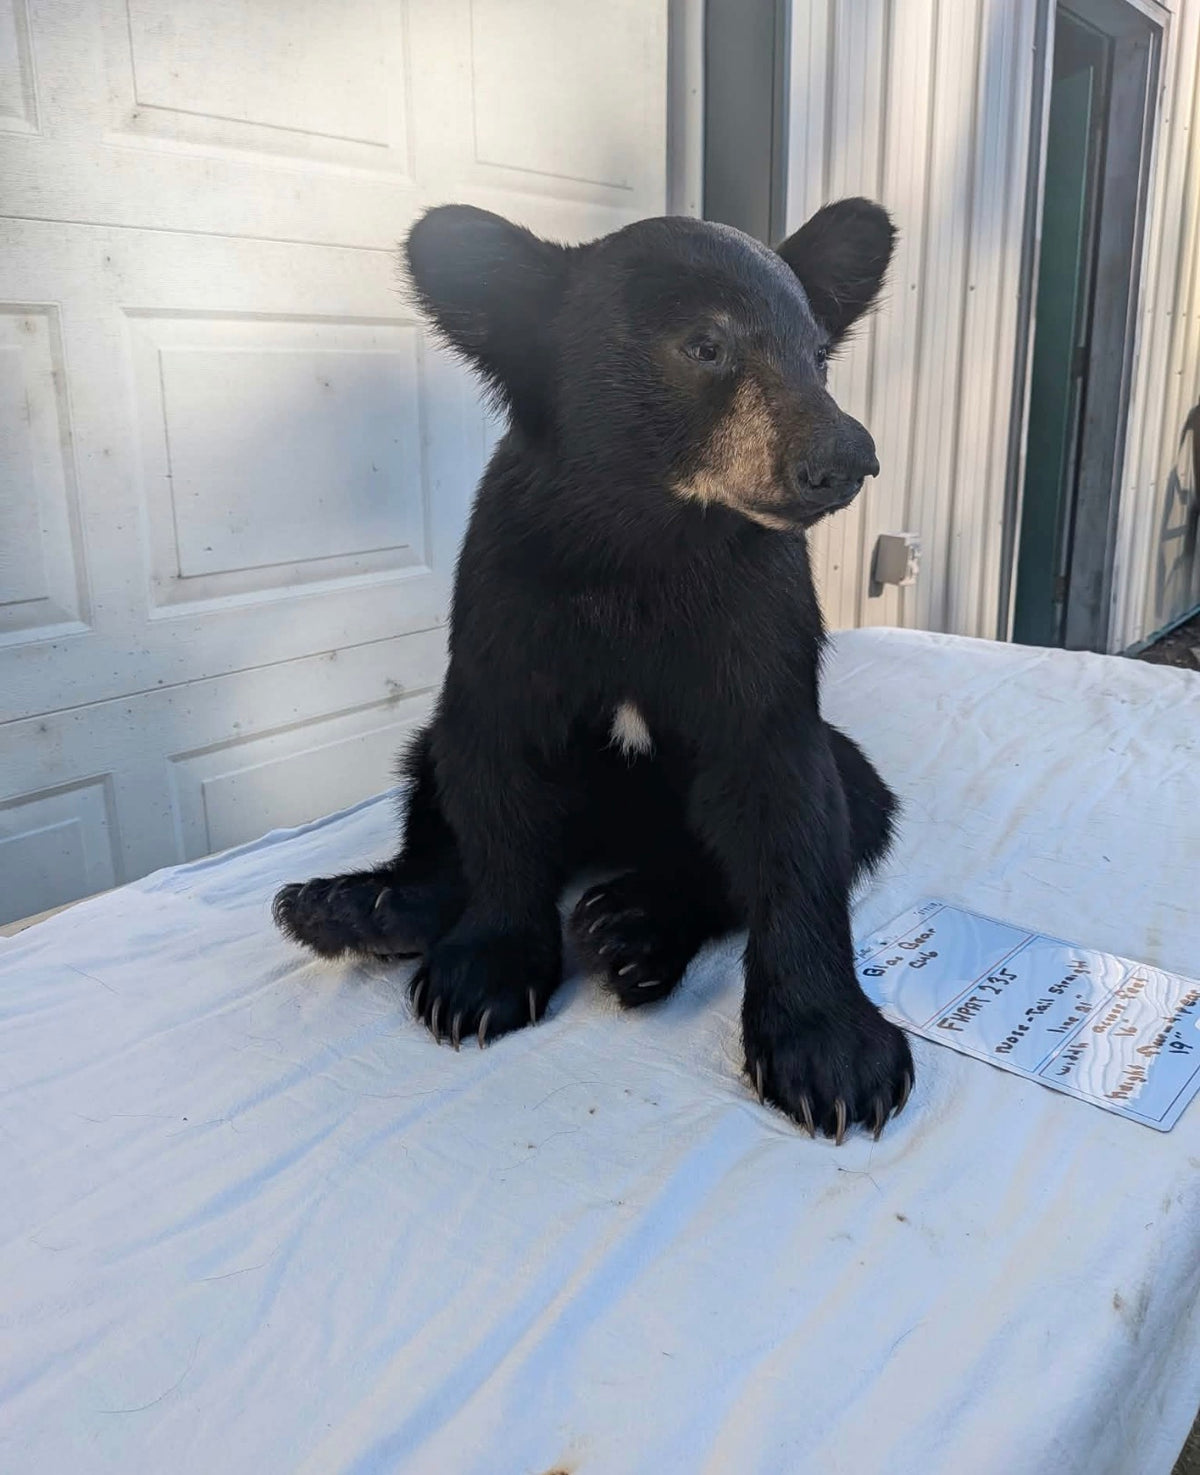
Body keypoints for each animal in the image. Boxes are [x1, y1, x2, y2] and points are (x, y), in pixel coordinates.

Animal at [273, 199, 913, 1143]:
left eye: (818, 353)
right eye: (704, 344)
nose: (847, 458)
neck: (644, 543)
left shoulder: (758, 624)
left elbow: (790, 807)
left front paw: (831, 1052)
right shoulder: (509, 603)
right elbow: (496, 773)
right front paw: (483, 972)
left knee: (843, 807)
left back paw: (634, 926)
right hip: (443, 743)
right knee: (437, 780)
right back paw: (360, 907)